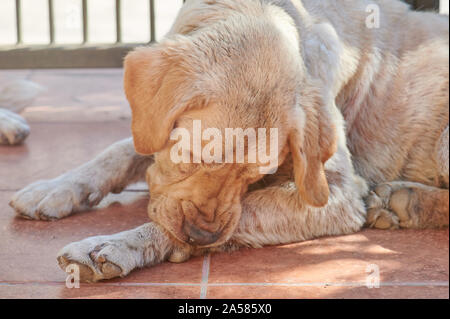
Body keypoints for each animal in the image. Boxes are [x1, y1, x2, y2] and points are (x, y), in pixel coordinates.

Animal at [8, 0, 448, 282]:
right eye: (190, 155)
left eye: (255, 175)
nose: (202, 237)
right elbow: (121, 150)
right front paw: (57, 187)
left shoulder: (337, 195)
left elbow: (239, 212)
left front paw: (118, 245)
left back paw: (404, 201)